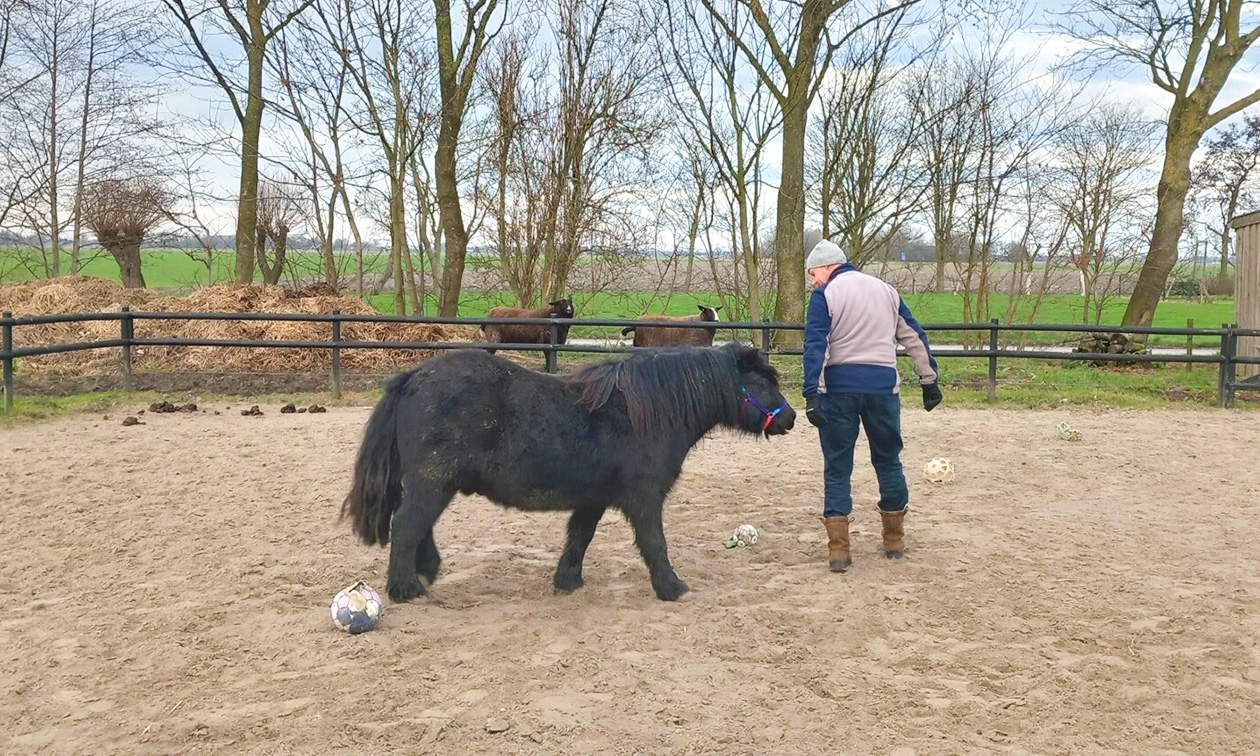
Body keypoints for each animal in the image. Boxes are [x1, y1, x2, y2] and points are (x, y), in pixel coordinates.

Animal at [340, 342, 796, 602]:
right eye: (763, 382)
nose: (791, 417)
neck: (644, 412)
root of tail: (414, 377)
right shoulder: (644, 498)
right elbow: (655, 544)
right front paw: (672, 588)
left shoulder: (593, 499)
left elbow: (580, 537)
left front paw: (567, 581)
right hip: (432, 481)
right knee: (408, 526)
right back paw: (405, 589)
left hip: (435, 482)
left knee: (419, 526)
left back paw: (427, 570)